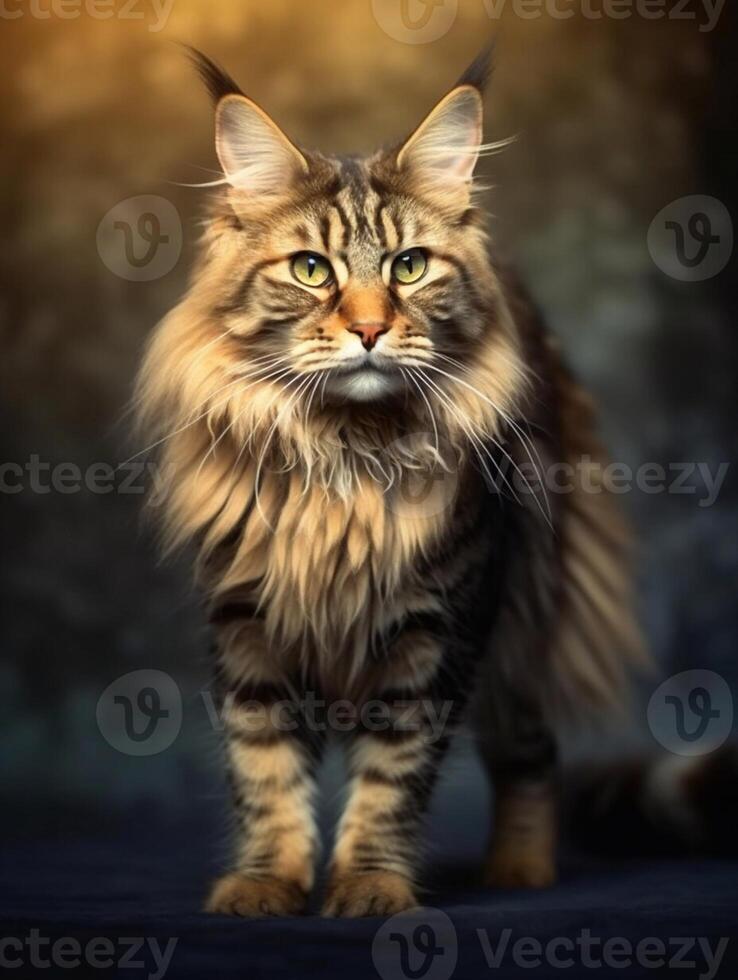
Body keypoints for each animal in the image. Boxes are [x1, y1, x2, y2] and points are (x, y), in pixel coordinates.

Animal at [132, 47, 648, 920]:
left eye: (410, 267)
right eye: (311, 270)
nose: (371, 328)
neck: (347, 458)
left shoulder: (435, 632)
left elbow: (388, 781)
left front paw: (370, 884)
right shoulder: (249, 624)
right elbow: (265, 774)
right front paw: (267, 883)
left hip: (519, 612)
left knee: (531, 750)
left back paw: (520, 867)